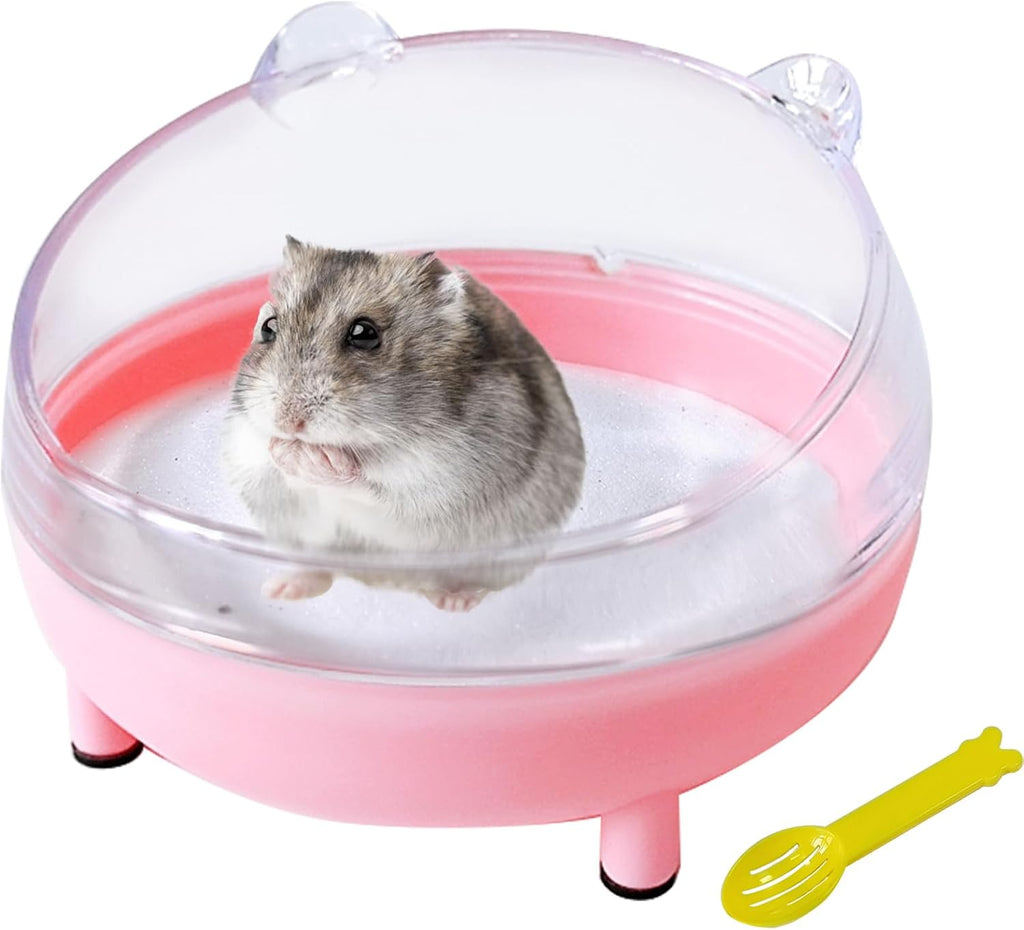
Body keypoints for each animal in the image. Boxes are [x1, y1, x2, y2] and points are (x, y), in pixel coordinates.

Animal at [221, 237, 585, 611]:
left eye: (364, 333)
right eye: (268, 327)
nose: (288, 421)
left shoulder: (439, 481)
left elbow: (366, 485)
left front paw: (314, 457)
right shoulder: (249, 459)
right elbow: (274, 467)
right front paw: (284, 449)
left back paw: (456, 600)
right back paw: (280, 589)